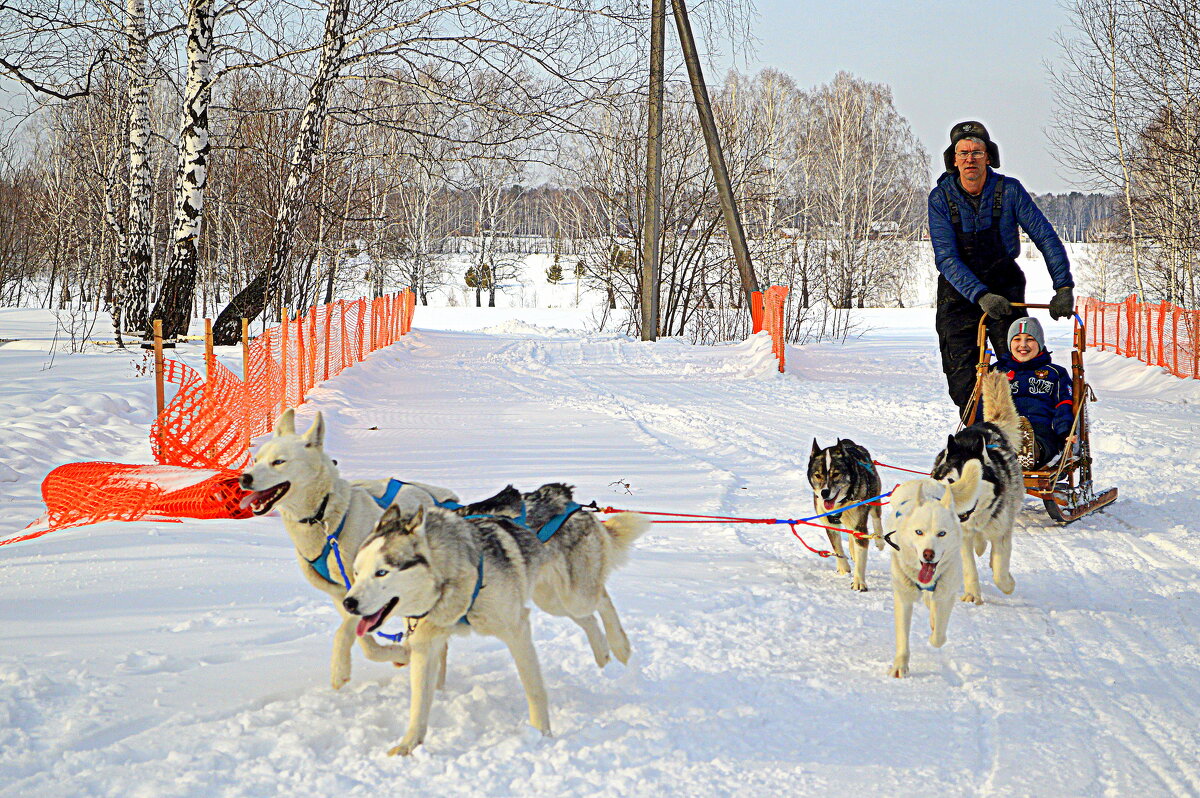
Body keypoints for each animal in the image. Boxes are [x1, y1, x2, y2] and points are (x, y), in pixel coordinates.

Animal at [238, 408, 458, 686]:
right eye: (256, 460)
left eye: (279, 462)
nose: (244, 477)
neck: (322, 518)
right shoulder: (340, 594)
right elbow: (367, 644)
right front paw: (397, 654)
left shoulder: (360, 587)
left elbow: (344, 633)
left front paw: (339, 670)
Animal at [343, 501, 652, 758]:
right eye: (356, 572)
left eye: (382, 572)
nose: (348, 603)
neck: (453, 578)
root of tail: (578, 508)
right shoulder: (425, 647)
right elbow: (419, 703)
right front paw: (409, 745)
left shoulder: (517, 629)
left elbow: (533, 689)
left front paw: (541, 733)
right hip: (553, 601)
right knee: (588, 619)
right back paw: (602, 654)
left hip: (574, 596)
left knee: (603, 600)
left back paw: (620, 647)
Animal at [888, 460, 979, 676]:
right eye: (919, 532)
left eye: (942, 533)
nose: (928, 554)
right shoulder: (903, 598)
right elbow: (903, 637)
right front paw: (900, 666)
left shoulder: (946, 595)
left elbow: (939, 635)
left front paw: (934, 634)